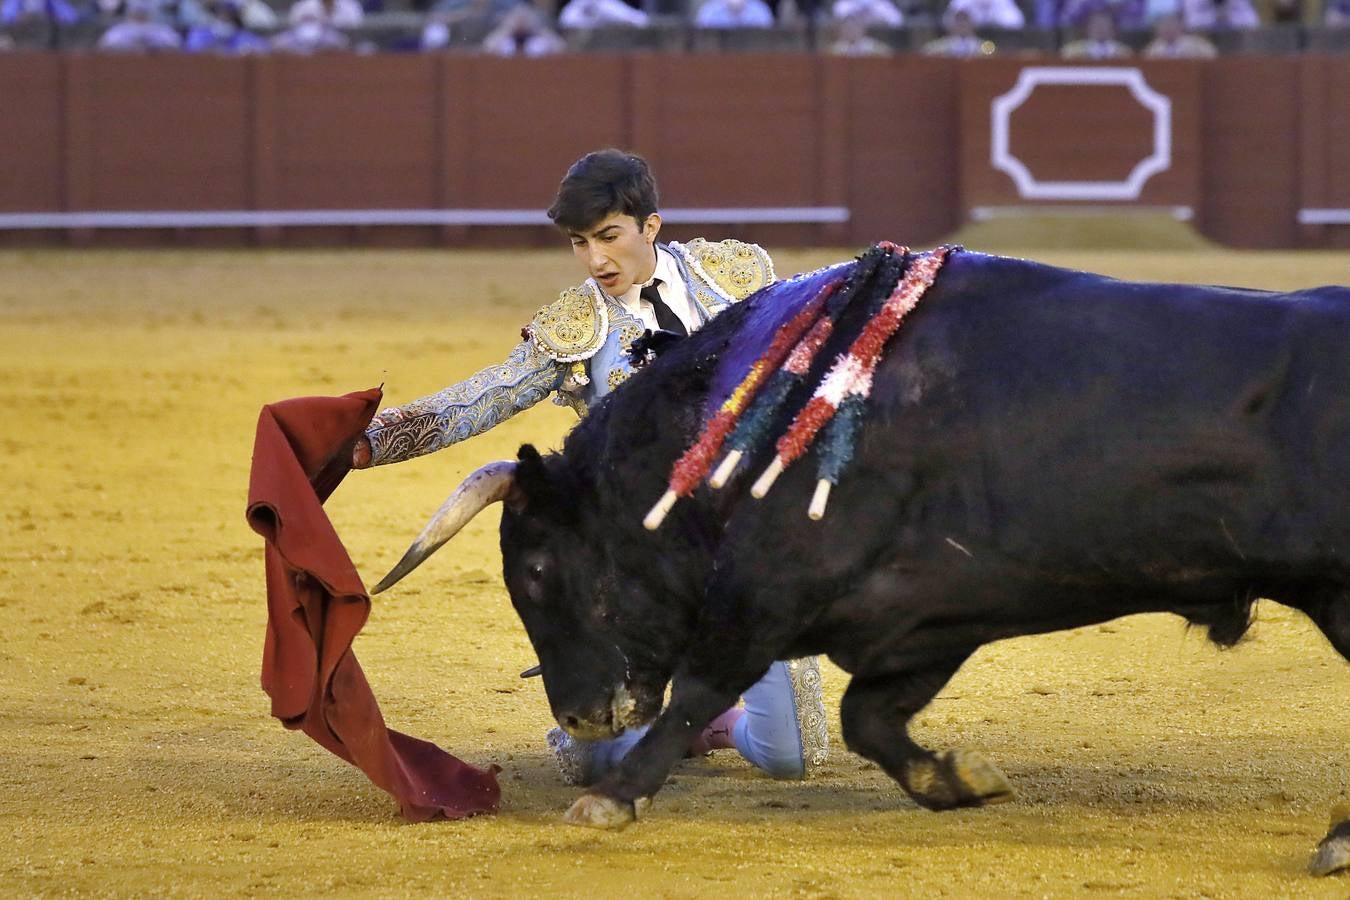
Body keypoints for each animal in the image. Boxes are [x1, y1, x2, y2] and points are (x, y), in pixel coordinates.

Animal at [372, 248, 1350, 831]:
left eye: (537, 569)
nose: (577, 717)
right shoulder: (925, 615)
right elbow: (868, 718)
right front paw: (960, 781)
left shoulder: (768, 595)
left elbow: (698, 692)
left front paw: (613, 798)